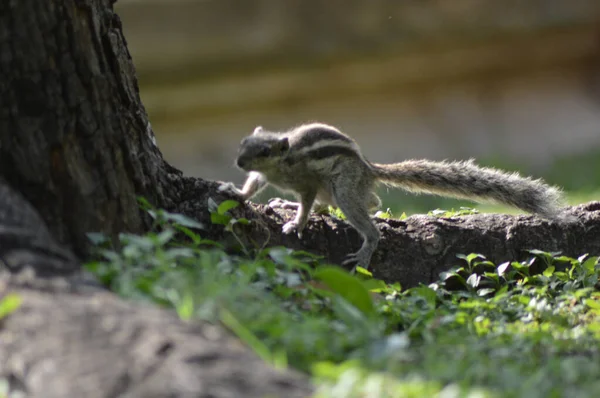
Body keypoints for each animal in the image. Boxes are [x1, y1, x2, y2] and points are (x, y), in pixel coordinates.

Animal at [218, 123, 564, 268]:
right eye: (243, 143)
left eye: (264, 150)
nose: (239, 162)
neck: (283, 162)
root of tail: (368, 168)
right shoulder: (263, 176)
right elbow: (253, 186)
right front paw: (236, 192)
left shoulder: (306, 183)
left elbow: (305, 202)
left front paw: (296, 224)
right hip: (339, 192)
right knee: (356, 204)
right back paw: (285, 202)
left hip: (342, 188)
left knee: (368, 211)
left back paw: (364, 250)